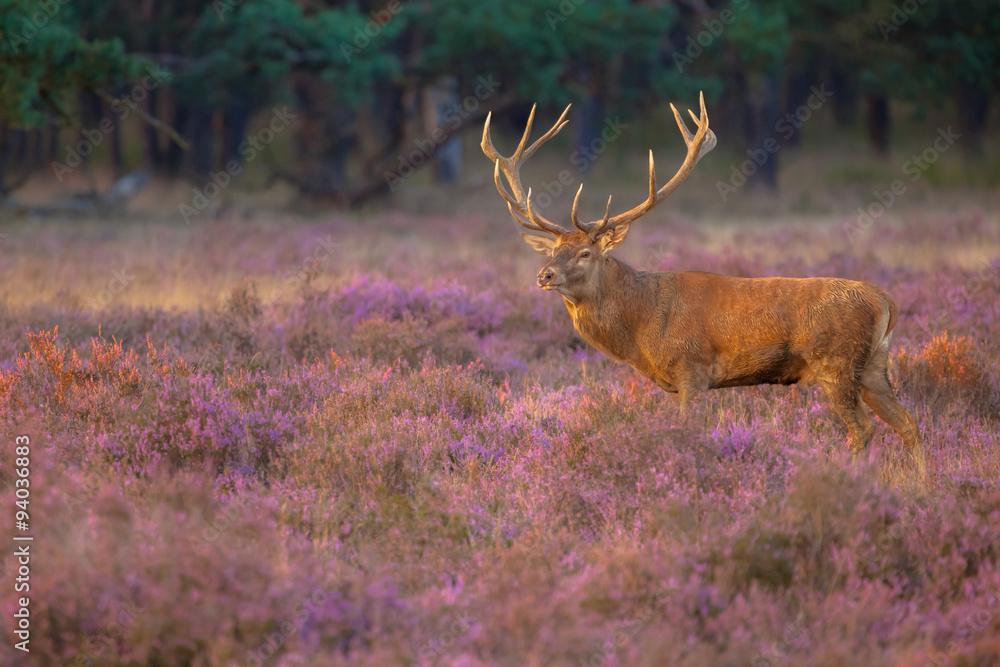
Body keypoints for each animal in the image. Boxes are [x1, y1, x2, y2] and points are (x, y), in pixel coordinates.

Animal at [481, 93, 924, 471]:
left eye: (586, 253)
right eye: (553, 251)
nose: (545, 274)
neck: (641, 328)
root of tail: (886, 301)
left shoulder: (691, 370)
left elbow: (687, 434)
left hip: (836, 362)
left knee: (864, 428)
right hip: (873, 364)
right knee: (909, 422)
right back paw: (922, 484)